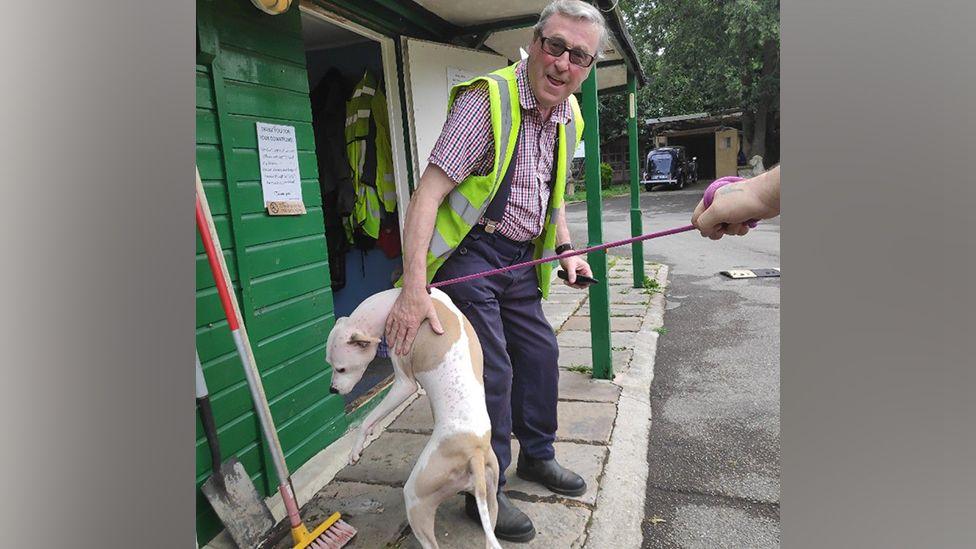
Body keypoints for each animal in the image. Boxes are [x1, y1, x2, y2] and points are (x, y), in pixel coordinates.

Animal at [328, 286, 504, 548]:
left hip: (417, 497)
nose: (332, 390)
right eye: (329, 364)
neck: (394, 301)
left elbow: (368, 419)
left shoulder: (404, 384)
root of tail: (475, 452)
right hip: (491, 499)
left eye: (341, 368)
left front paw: (355, 450)